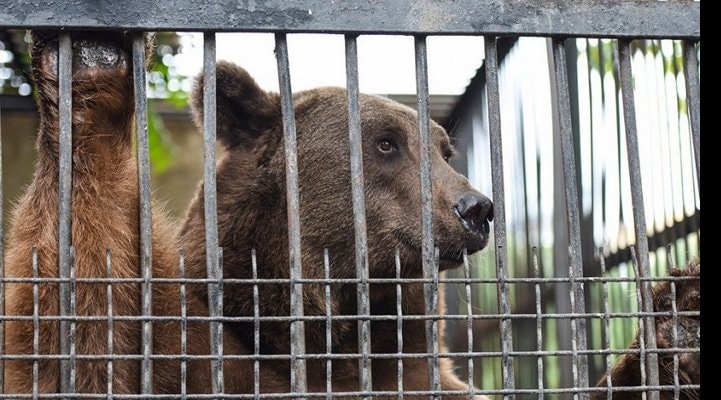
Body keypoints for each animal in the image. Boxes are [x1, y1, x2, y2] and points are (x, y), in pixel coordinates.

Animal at [2, 29, 492, 398]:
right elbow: (84, 345)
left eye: (445, 151)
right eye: (386, 142)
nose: (476, 208)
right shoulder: (194, 351)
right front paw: (91, 58)